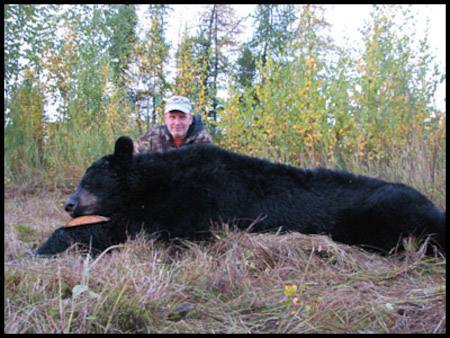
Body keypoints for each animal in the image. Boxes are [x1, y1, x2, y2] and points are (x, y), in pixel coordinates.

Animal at [35, 136, 442, 255]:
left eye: (91, 180)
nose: (69, 203)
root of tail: (435, 207)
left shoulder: (190, 206)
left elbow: (129, 227)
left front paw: (45, 246)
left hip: (385, 213)